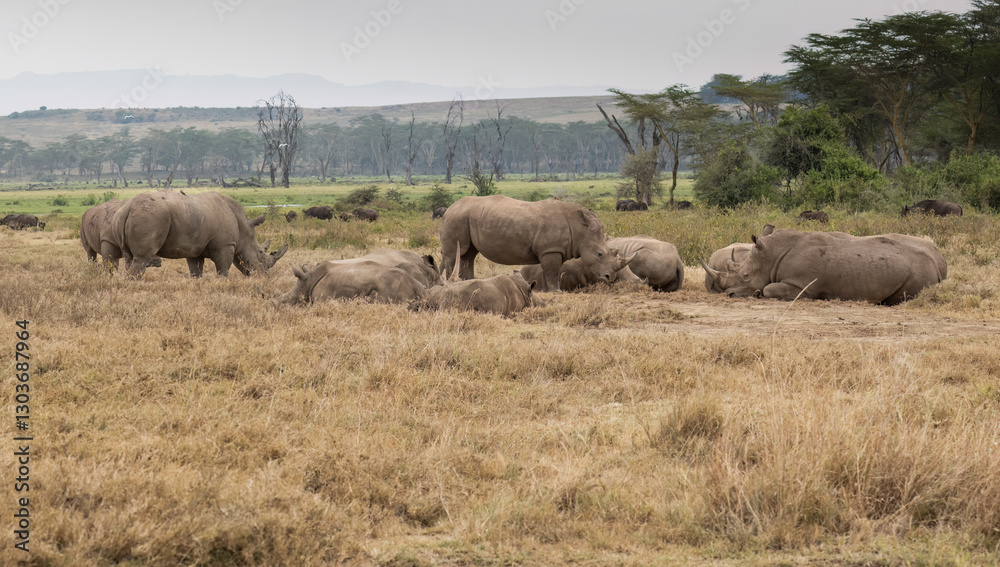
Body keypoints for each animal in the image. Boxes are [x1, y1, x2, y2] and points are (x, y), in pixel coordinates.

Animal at [113, 190, 287, 278]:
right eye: (261, 253)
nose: (264, 275)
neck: (244, 228)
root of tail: (129, 206)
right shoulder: (225, 245)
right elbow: (223, 269)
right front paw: (223, 283)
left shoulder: (194, 248)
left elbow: (196, 270)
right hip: (150, 216)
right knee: (142, 258)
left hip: (124, 216)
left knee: (129, 257)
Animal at [439, 195, 624, 292]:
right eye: (600, 254)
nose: (611, 277)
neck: (579, 229)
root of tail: (449, 208)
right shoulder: (551, 250)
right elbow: (552, 272)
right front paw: (556, 291)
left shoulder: (551, 250)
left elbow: (549, 272)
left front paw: (546, 291)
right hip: (456, 218)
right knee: (453, 254)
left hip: (465, 217)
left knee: (468, 254)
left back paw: (468, 283)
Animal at [707, 227, 945, 306]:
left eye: (746, 275)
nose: (728, 294)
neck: (772, 255)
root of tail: (937, 264)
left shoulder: (801, 285)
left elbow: (768, 288)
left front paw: (758, 293)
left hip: (919, 271)